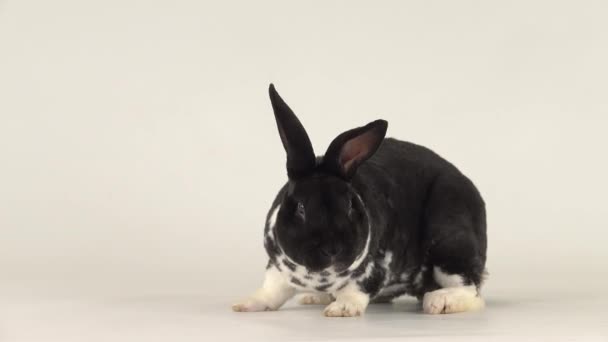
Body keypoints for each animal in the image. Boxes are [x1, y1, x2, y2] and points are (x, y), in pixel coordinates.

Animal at [230, 84, 486, 316]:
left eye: (350, 205)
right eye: (301, 207)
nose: (332, 249)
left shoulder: (374, 268)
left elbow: (355, 290)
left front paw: (342, 308)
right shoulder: (276, 269)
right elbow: (271, 291)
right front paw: (245, 304)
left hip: (450, 244)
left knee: (472, 291)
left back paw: (440, 302)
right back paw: (315, 297)